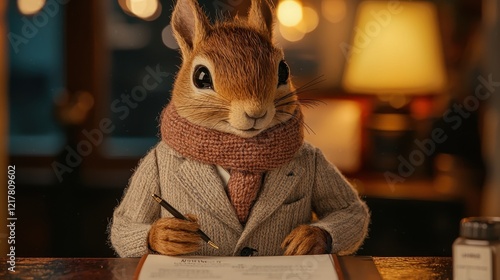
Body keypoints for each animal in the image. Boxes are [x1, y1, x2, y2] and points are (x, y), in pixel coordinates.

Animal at [109, 0, 370, 256]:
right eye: (201, 76)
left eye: (283, 70)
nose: (256, 112)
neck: (238, 154)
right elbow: (126, 224)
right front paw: (170, 235)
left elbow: (350, 210)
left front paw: (308, 237)